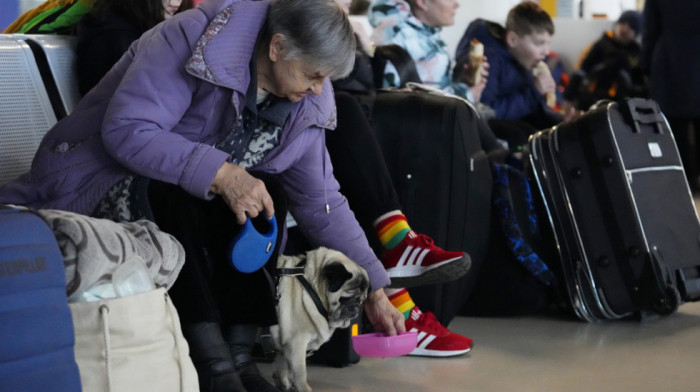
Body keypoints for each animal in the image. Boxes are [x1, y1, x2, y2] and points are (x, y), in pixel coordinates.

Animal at [272, 248, 372, 392]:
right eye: (347, 298)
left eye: (361, 300)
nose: (356, 308)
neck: (313, 290)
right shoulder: (296, 343)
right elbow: (300, 373)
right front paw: (303, 388)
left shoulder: (283, 344)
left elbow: (282, 367)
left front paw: (283, 384)